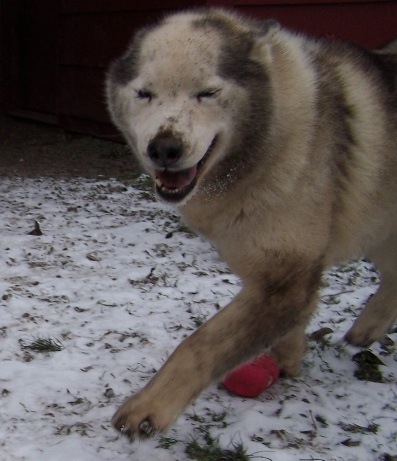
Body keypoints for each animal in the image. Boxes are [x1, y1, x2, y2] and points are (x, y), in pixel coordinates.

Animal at [105, 8, 396, 438]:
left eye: (208, 93)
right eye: (144, 94)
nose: (164, 149)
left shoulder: (284, 279)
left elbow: (199, 346)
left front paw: (149, 406)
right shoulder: (272, 268)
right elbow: (289, 325)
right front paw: (289, 357)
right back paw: (369, 329)